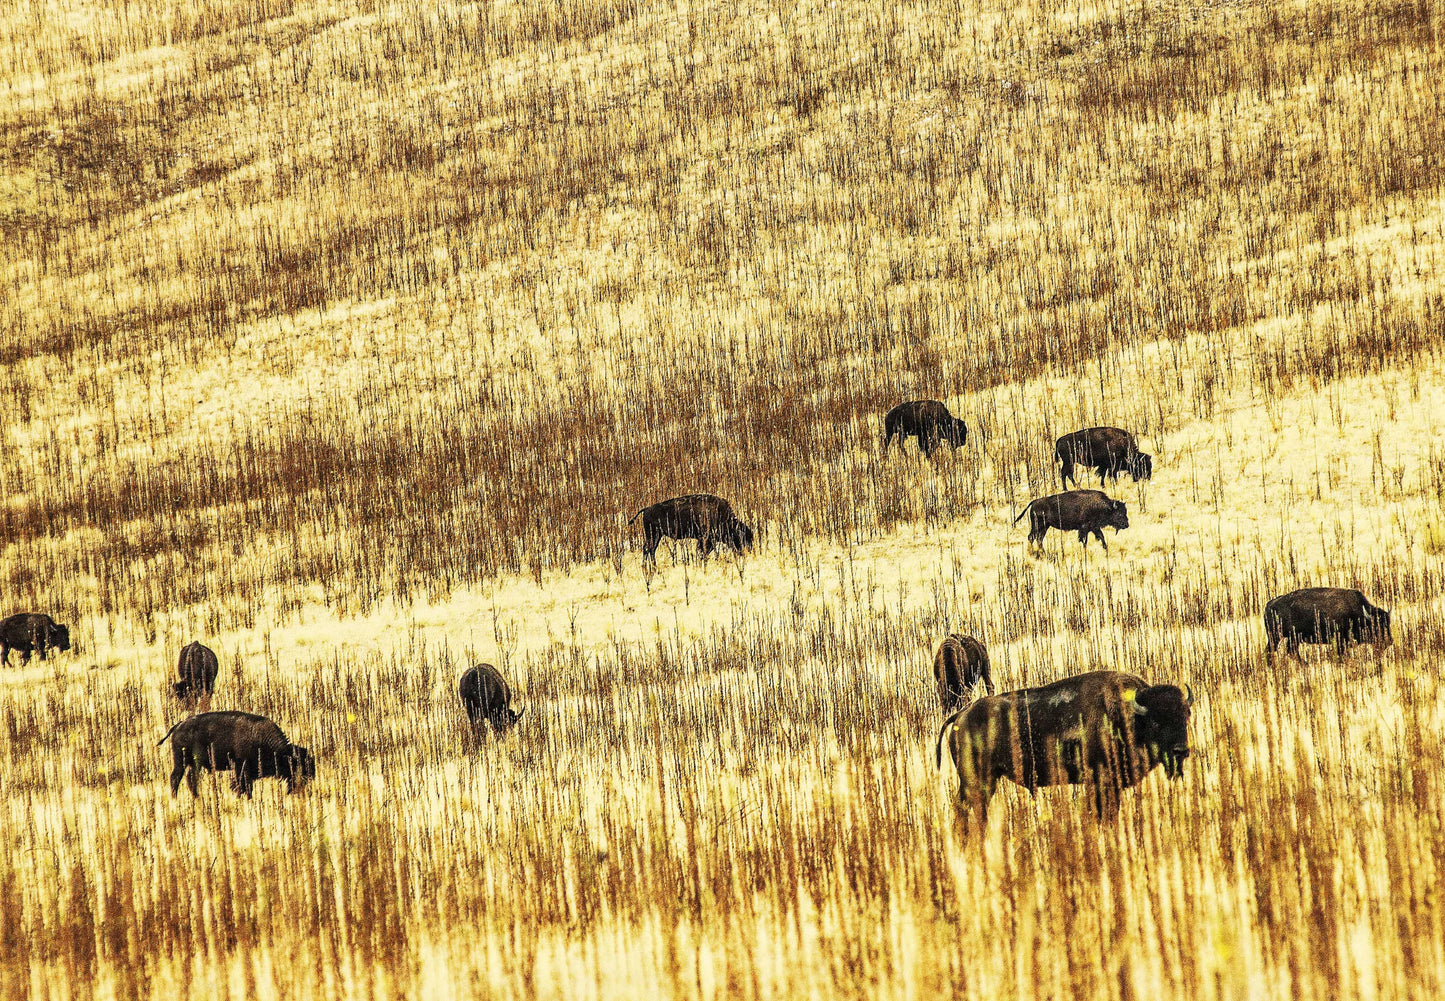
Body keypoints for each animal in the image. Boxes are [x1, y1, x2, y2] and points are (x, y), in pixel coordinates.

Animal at [159, 710, 314, 798]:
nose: (302, 789)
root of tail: (178, 726)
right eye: (296, 766)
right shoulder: (241, 768)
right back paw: (175, 798)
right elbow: (243, 786)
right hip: (181, 761)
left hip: (194, 764)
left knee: (190, 779)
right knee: (176, 777)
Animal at [937, 670, 1193, 821]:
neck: (1128, 715)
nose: (1181, 751)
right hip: (978, 780)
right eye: (1156, 721)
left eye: (1185, 717)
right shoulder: (1100, 782)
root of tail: (961, 715)